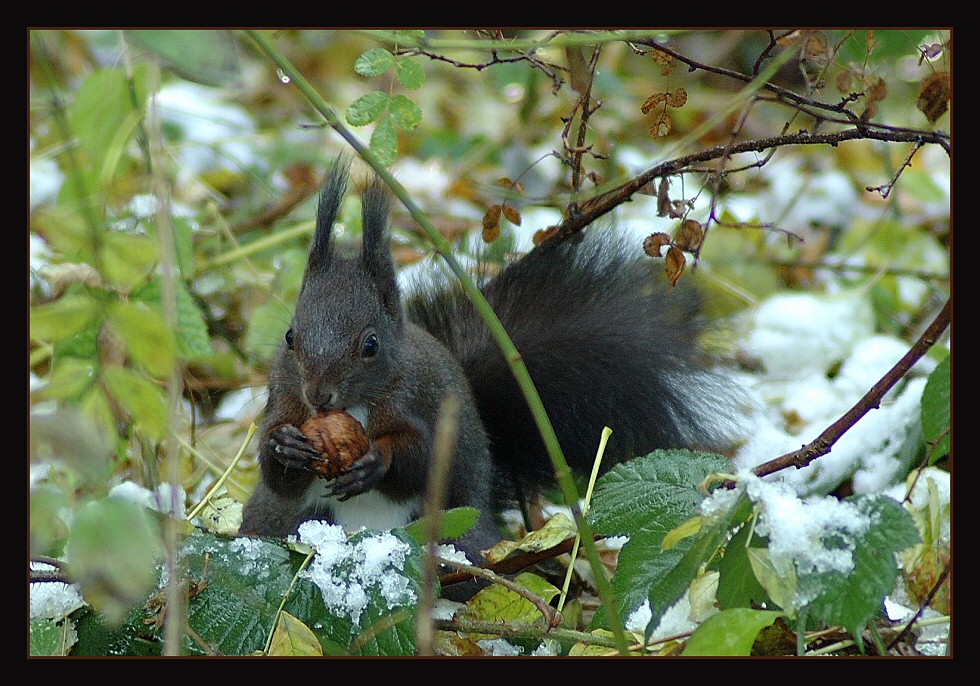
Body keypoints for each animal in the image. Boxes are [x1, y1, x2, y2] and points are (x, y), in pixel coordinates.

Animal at [239, 157, 744, 596]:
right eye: (290, 336)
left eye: (370, 345)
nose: (319, 396)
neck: (356, 405)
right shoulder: (284, 398)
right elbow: (278, 475)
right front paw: (284, 445)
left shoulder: (424, 400)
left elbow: (423, 458)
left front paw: (375, 460)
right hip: (279, 524)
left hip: (457, 537)